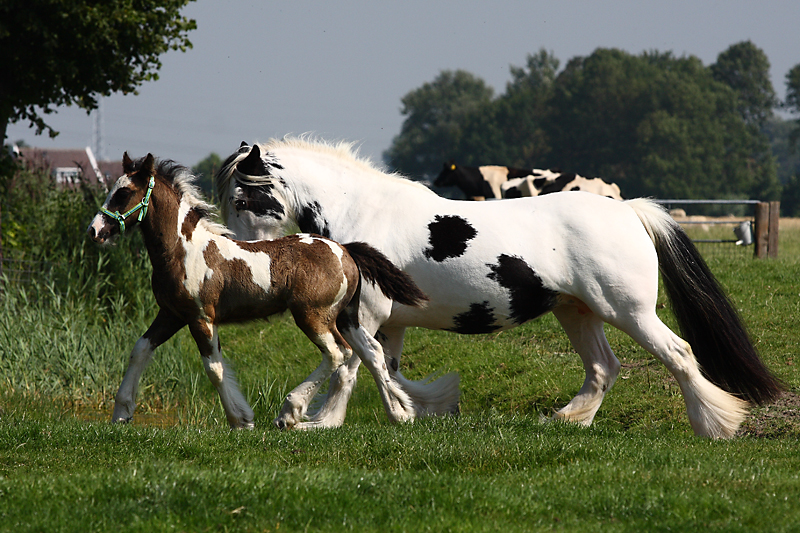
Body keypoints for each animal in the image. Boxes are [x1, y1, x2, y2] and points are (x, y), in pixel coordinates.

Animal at [86, 153, 432, 428]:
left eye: (123, 193)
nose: (95, 231)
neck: (184, 250)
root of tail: (344, 250)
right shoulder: (172, 314)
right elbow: (140, 350)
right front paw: (121, 413)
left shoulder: (200, 317)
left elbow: (214, 368)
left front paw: (241, 419)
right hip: (346, 317)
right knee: (371, 354)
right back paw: (400, 414)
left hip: (313, 316)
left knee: (337, 353)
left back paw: (290, 413)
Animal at [217, 136, 780, 436]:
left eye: (243, 198)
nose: (237, 256)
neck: (362, 215)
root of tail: (629, 210)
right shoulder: (389, 322)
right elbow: (382, 368)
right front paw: (420, 406)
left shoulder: (366, 314)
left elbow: (350, 367)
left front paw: (311, 419)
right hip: (576, 311)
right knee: (603, 367)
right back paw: (567, 420)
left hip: (630, 311)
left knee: (679, 355)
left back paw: (714, 424)